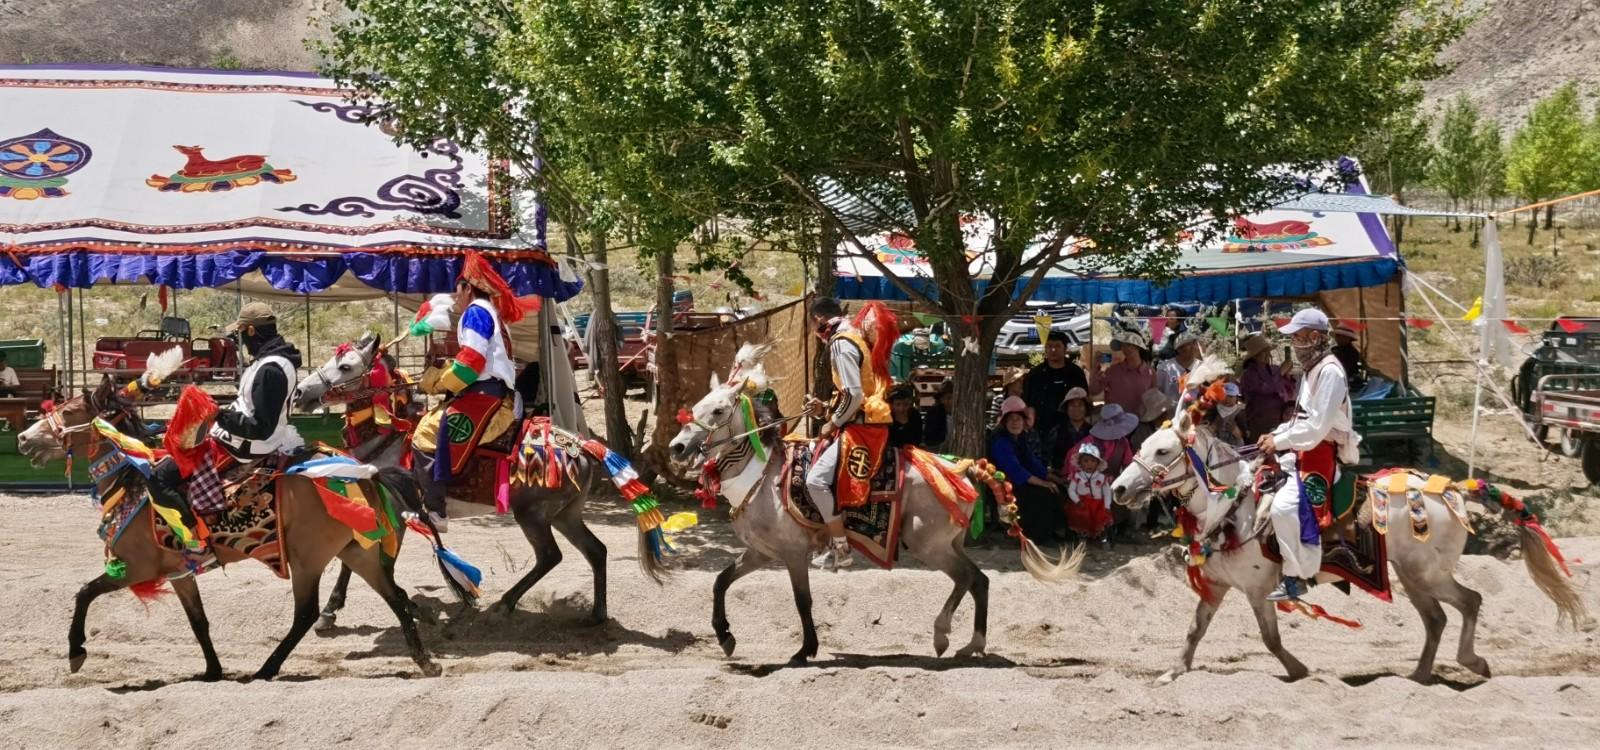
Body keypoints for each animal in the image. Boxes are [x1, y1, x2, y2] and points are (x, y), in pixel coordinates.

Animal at [15, 375, 442, 681]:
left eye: (70, 411)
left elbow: (84, 593)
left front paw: (76, 652)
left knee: (306, 613)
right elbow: (199, 622)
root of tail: (364, 472)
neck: (136, 482)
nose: (22, 438)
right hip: (356, 551)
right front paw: (212, 670)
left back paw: (267, 669)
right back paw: (425, 662)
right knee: (395, 597)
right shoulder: (179, 573)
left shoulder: (135, 568)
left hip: (307, 558)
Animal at [293, 332, 666, 631]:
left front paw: (334, 611)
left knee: (550, 556)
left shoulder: (396, 515)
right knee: (596, 551)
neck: (390, 439)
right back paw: (596, 614)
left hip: (533, 515)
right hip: (565, 515)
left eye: (345, 367)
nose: (299, 393)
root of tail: (579, 445)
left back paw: (505, 604)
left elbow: (366, 562)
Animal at [667, 342, 1083, 665]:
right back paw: (969, 644)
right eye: (697, 406)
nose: (677, 447)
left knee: (967, 578)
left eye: (718, 410)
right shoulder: (762, 552)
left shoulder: (793, 552)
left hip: (926, 543)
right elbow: (721, 581)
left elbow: (803, 601)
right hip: (948, 541)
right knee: (979, 580)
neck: (764, 478)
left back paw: (942, 635)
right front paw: (725, 637)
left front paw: (805, 650)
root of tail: (962, 469)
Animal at [1108, 407, 1588, 684]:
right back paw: (1419, 675)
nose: (1118, 489)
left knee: (1469, 602)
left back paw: (1468, 663)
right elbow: (1195, 630)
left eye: (1162, 451)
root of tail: (1451, 488)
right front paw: (1173, 672)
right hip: (1412, 576)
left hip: (1426, 573)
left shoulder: (1259, 590)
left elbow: (1270, 639)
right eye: (1142, 445)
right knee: (1437, 618)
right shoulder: (1217, 587)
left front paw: (1299, 671)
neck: (1234, 508)